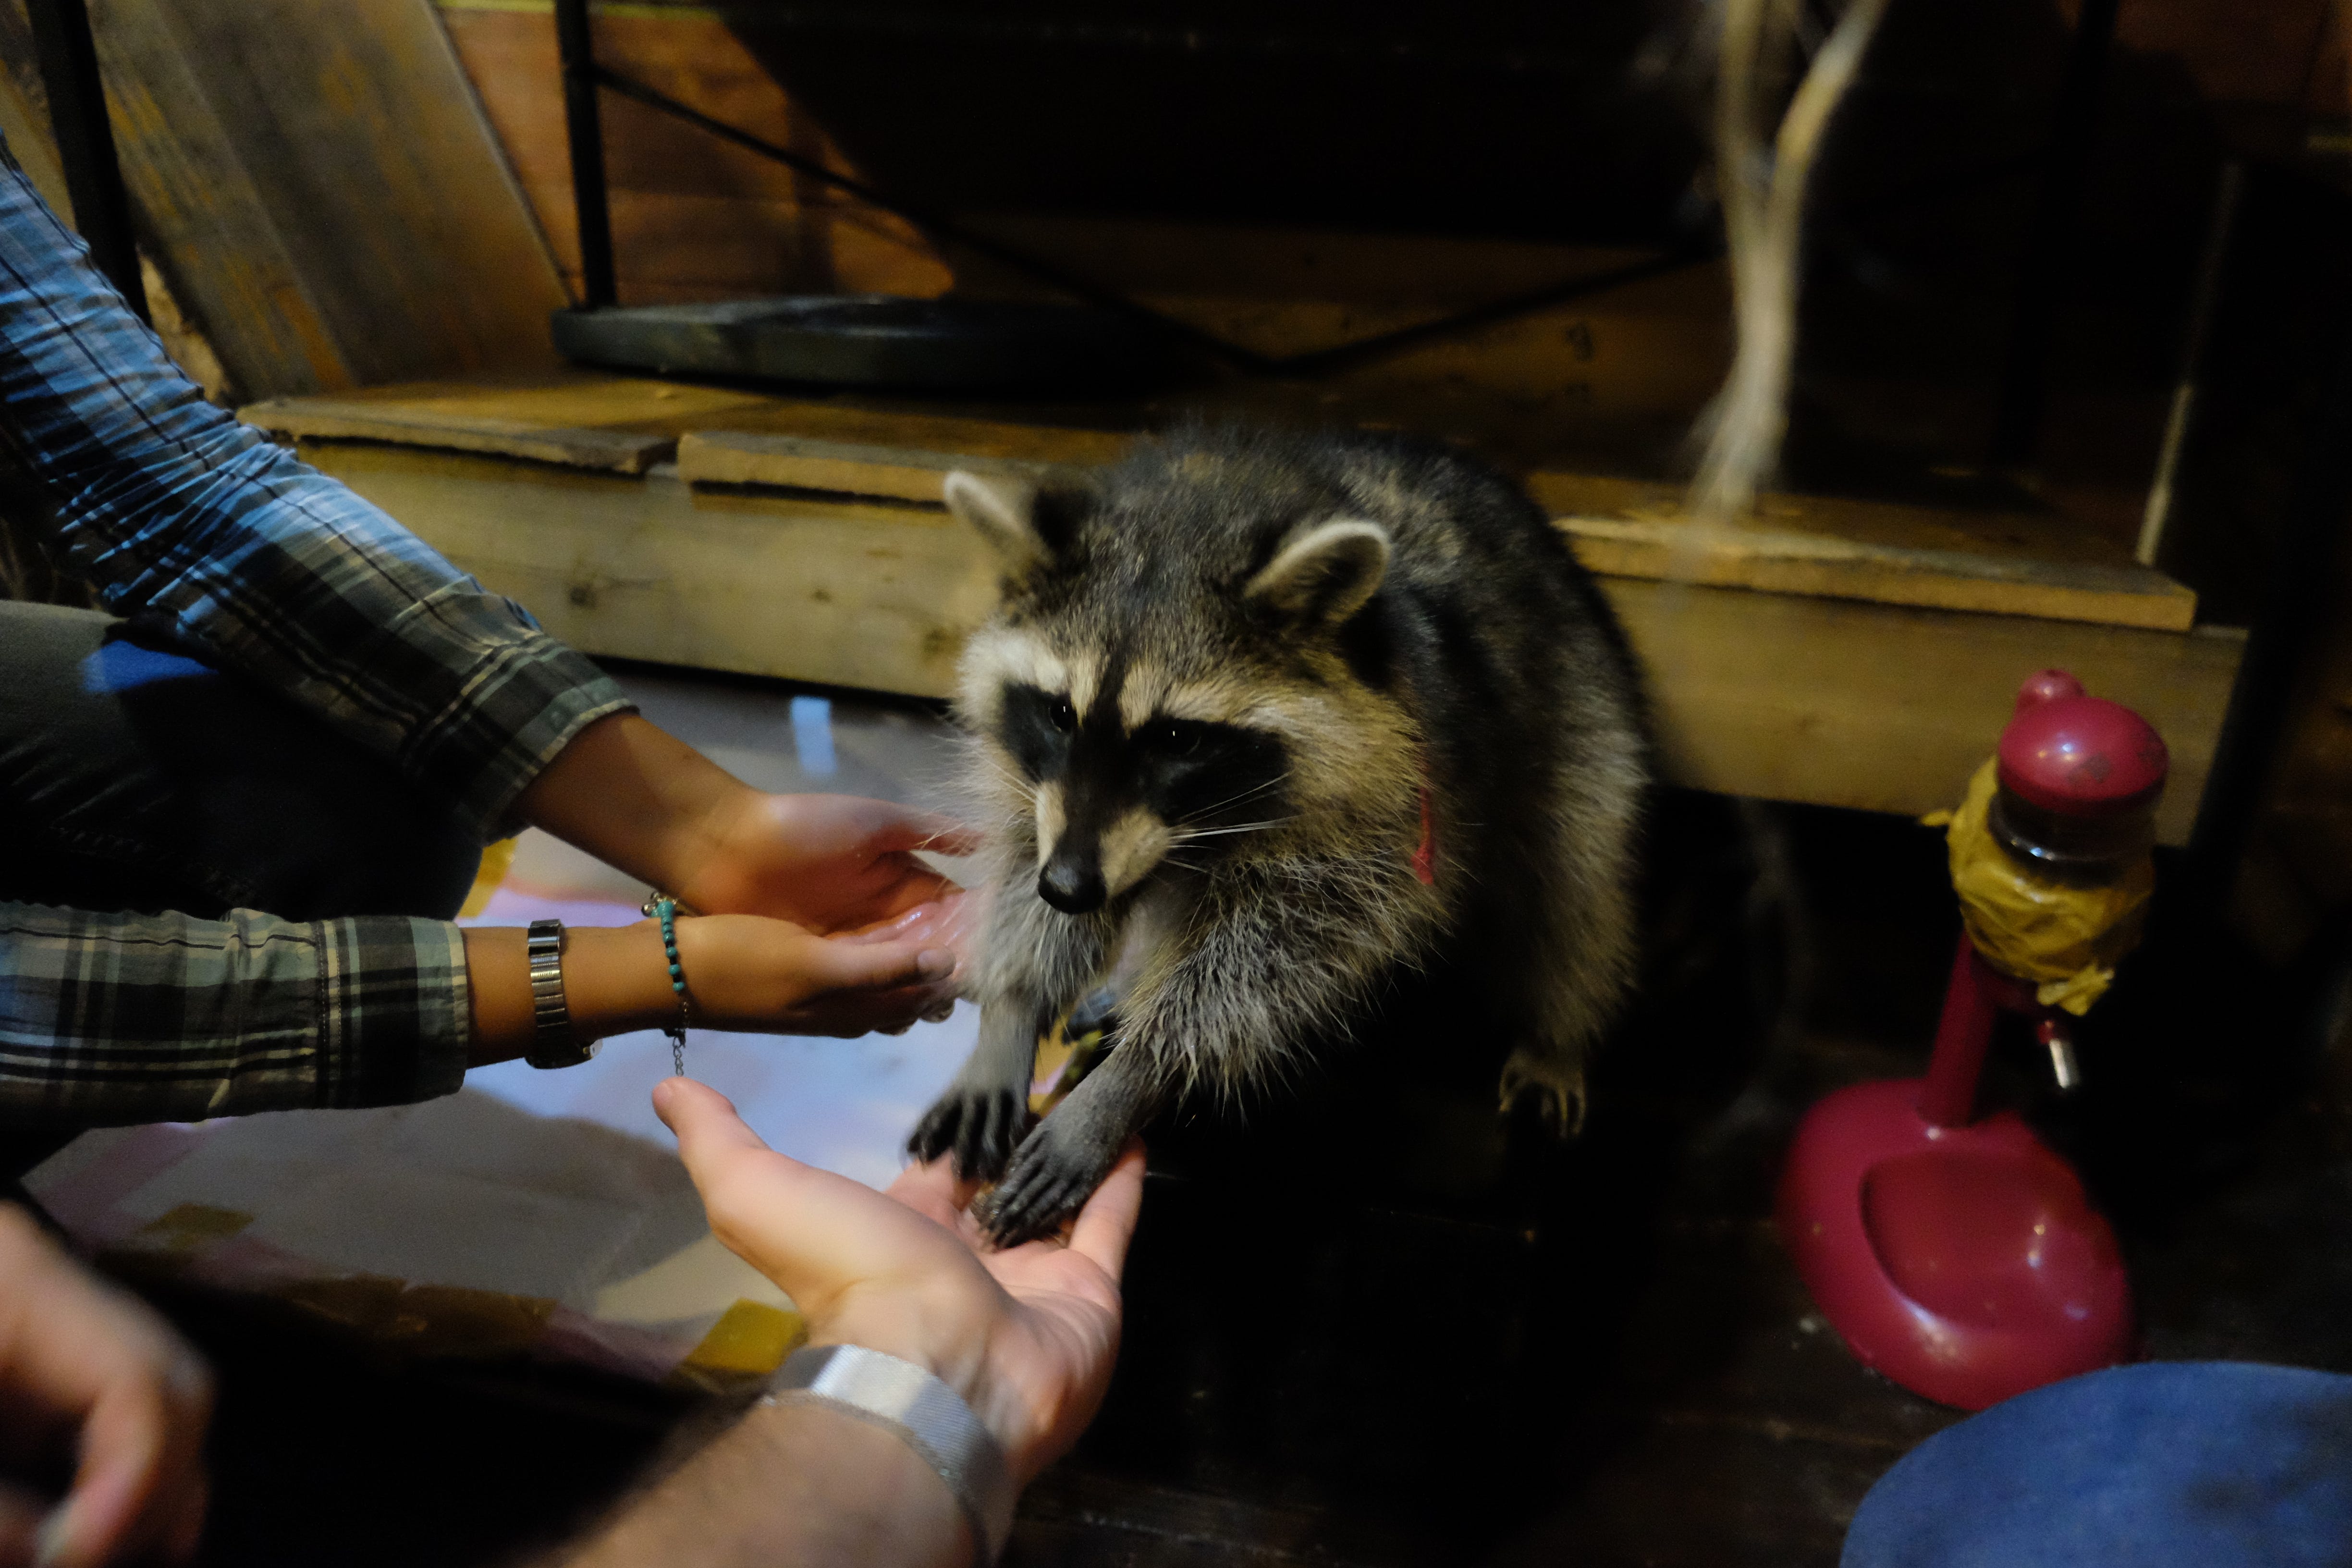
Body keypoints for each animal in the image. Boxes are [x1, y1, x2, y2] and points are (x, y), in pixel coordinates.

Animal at [907, 425, 1646, 1241]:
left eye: (1177, 738)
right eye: (1058, 714)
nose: (1069, 888)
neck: (1193, 511)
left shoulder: (1387, 795)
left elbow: (1291, 949)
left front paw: (1135, 1075)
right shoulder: (1047, 798)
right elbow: (1025, 864)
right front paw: (1012, 1010)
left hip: (1576, 703)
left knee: (1574, 880)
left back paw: (1558, 1033)